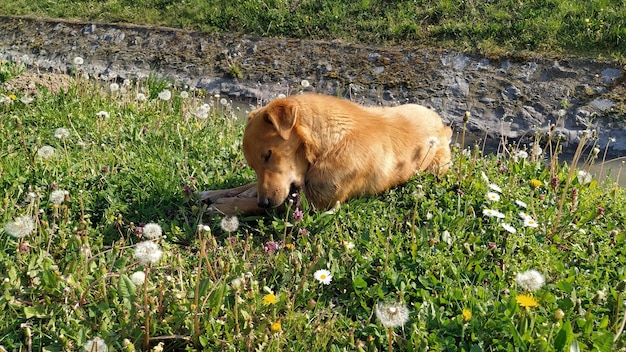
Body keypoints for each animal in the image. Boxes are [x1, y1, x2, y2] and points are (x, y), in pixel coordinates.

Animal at [202, 93, 450, 214]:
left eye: (269, 155)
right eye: (253, 166)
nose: (264, 203)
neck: (327, 147)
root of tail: (443, 125)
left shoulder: (314, 204)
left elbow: (256, 203)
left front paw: (224, 207)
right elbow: (249, 186)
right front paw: (215, 194)